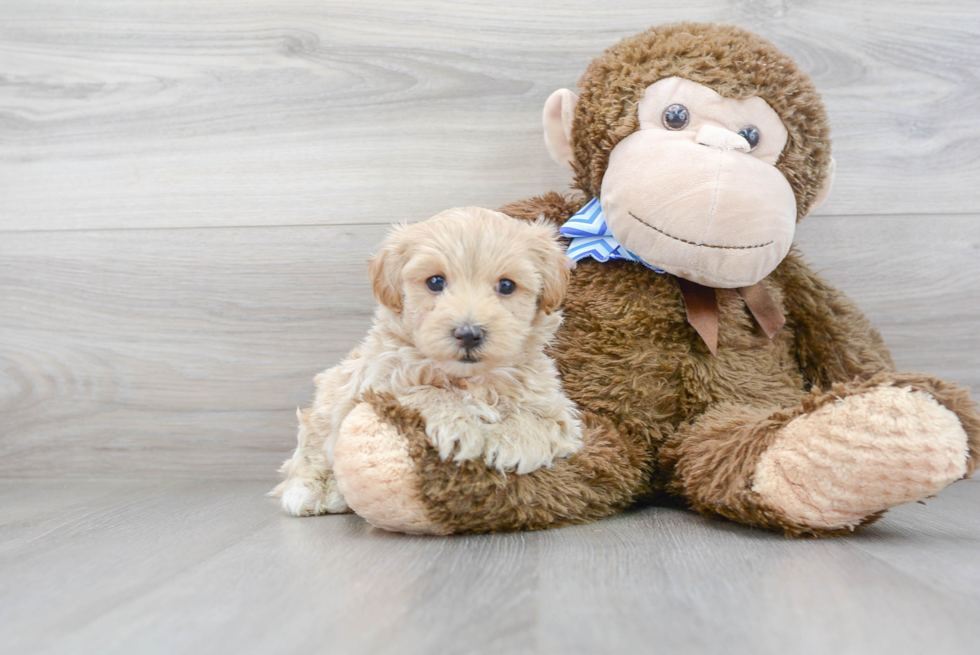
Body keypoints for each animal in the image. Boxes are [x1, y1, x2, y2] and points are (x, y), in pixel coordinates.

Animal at [270, 208, 580, 516]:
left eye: (506, 285)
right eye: (435, 282)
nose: (469, 334)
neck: (469, 378)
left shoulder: (558, 409)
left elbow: (543, 420)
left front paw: (514, 442)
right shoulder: (377, 385)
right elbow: (427, 390)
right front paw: (457, 427)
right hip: (325, 406)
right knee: (310, 455)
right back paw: (313, 491)